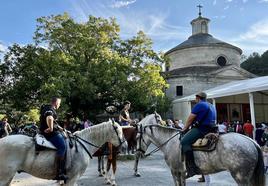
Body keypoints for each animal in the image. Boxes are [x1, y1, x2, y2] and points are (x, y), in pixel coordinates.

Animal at [138, 123, 266, 186]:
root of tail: (252, 142)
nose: (139, 152)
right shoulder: (181, 173)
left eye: (138, 136)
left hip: (240, 176)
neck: (170, 141)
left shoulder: (175, 171)